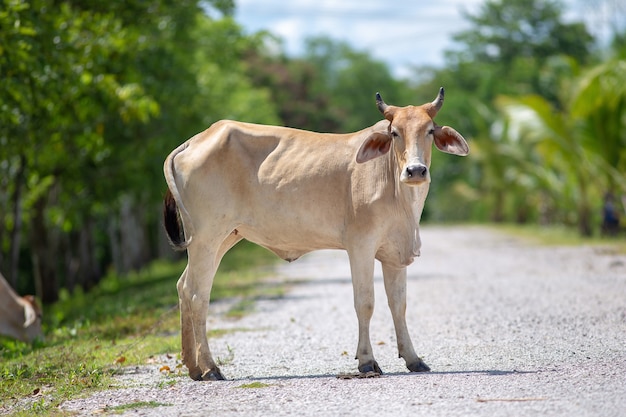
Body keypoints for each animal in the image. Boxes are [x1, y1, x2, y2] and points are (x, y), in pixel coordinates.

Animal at [163, 88, 466, 380]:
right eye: (395, 133)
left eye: (429, 130)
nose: (415, 170)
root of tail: (195, 140)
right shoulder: (361, 246)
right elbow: (365, 302)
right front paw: (367, 361)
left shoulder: (394, 254)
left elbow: (398, 305)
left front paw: (414, 359)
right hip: (207, 236)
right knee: (197, 294)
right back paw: (210, 368)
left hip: (223, 238)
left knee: (183, 286)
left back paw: (193, 366)